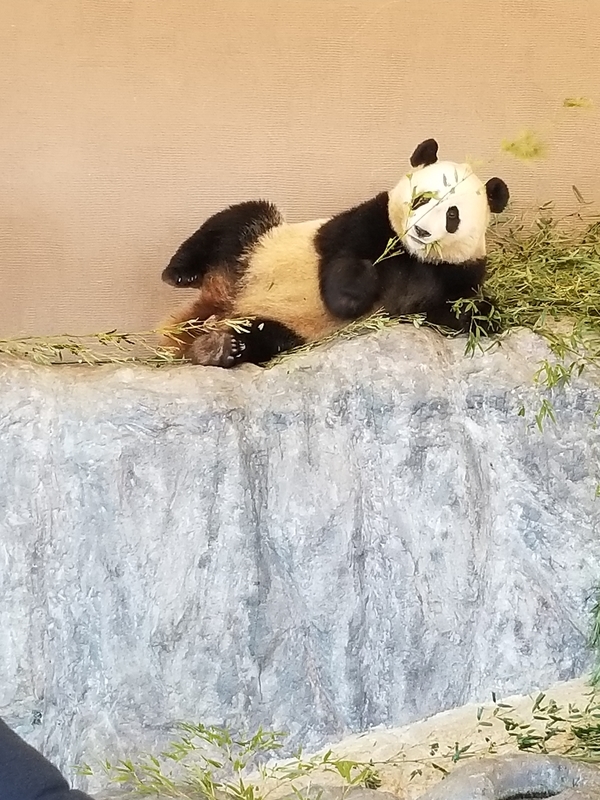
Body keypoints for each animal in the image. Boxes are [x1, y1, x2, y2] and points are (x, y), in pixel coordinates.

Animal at [159, 138, 509, 367]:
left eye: (452, 215)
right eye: (422, 198)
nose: (421, 232)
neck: (412, 255)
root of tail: (221, 303)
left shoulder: (455, 271)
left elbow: (445, 309)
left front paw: (485, 313)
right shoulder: (370, 219)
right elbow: (342, 257)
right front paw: (357, 290)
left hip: (282, 329)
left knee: (263, 337)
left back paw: (218, 347)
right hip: (260, 245)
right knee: (239, 220)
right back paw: (180, 273)